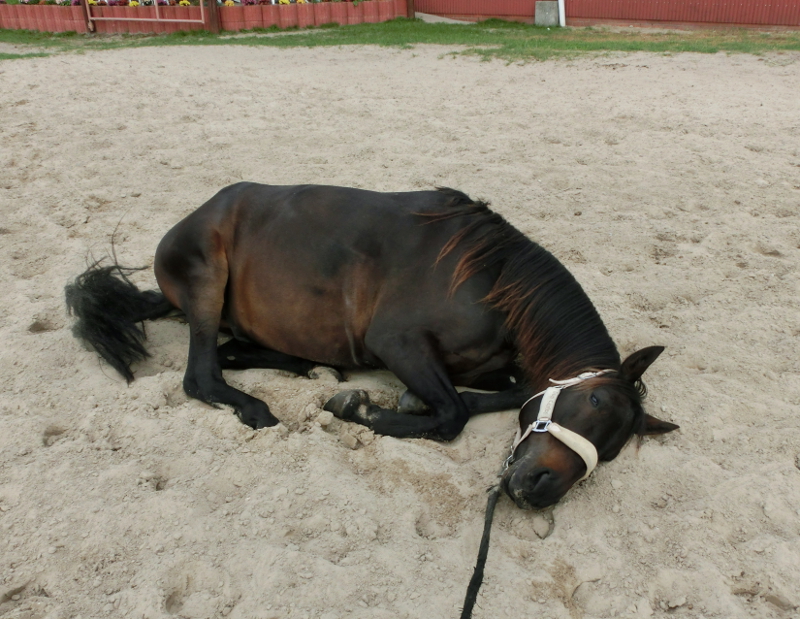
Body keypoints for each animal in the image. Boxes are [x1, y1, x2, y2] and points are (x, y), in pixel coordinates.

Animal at [65, 183, 678, 510]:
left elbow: (511, 389)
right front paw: (364, 411)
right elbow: (452, 414)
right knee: (202, 375)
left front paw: (401, 401)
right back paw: (259, 407)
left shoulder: (490, 368)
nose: (537, 490)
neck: (489, 277)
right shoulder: (398, 342)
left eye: (614, 450)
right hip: (206, 279)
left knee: (236, 351)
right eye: (593, 401)